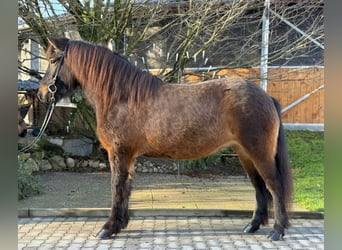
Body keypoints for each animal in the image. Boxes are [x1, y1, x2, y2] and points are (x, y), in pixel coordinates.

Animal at [38, 37, 294, 240]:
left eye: (54, 61)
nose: (41, 94)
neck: (122, 98)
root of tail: (267, 97)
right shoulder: (128, 156)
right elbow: (126, 188)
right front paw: (121, 224)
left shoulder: (119, 153)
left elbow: (116, 187)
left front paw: (108, 228)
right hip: (244, 154)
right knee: (259, 187)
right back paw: (252, 226)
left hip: (259, 153)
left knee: (274, 185)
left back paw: (277, 231)